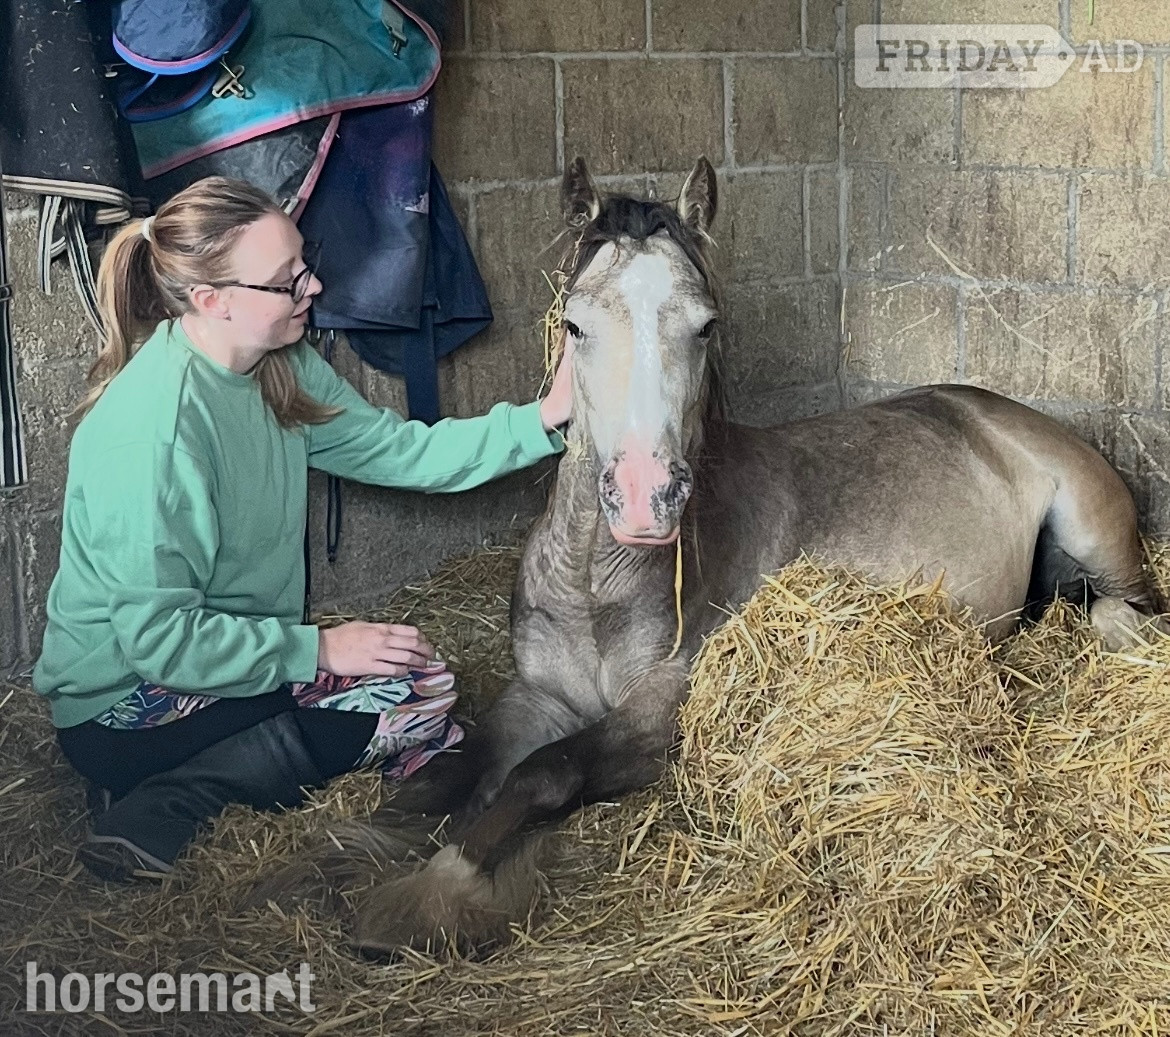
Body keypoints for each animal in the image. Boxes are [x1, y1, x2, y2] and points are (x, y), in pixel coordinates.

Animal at [257, 156, 1167, 956]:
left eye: (705, 325)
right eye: (576, 324)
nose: (645, 493)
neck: (598, 580)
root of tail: (998, 411)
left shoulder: (658, 717)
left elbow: (539, 776)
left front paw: (433, 892)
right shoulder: (536, 695)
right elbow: (448, 772)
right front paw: (339, 851)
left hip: (1094, 532)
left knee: (1128, 603)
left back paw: (1119, 637)